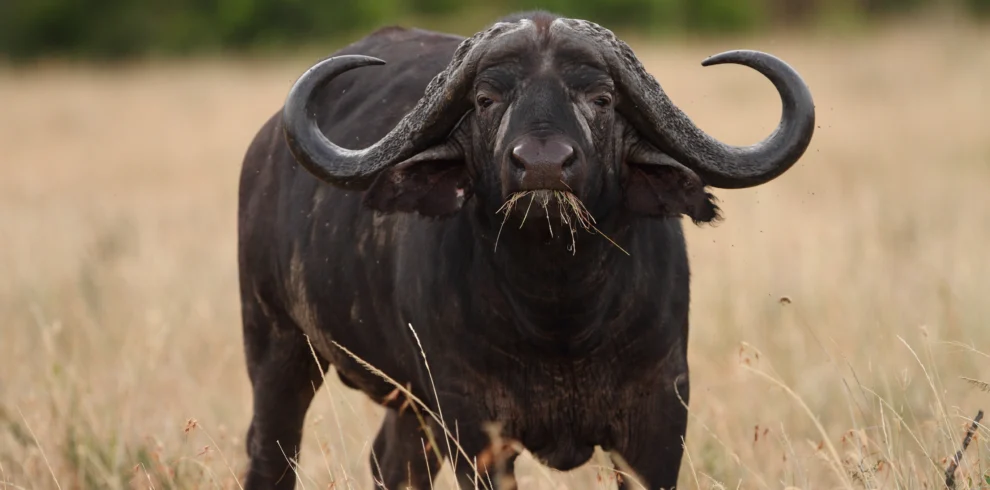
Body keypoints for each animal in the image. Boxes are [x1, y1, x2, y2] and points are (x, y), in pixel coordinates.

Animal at [237, 10, 815, 490]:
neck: (560, 315)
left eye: (601, 99)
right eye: (486, 99)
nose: (542, 164)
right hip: (277, 346)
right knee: (271, 452)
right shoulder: (473, 426)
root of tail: (265, 151)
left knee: (392, 463)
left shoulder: (659, 418)